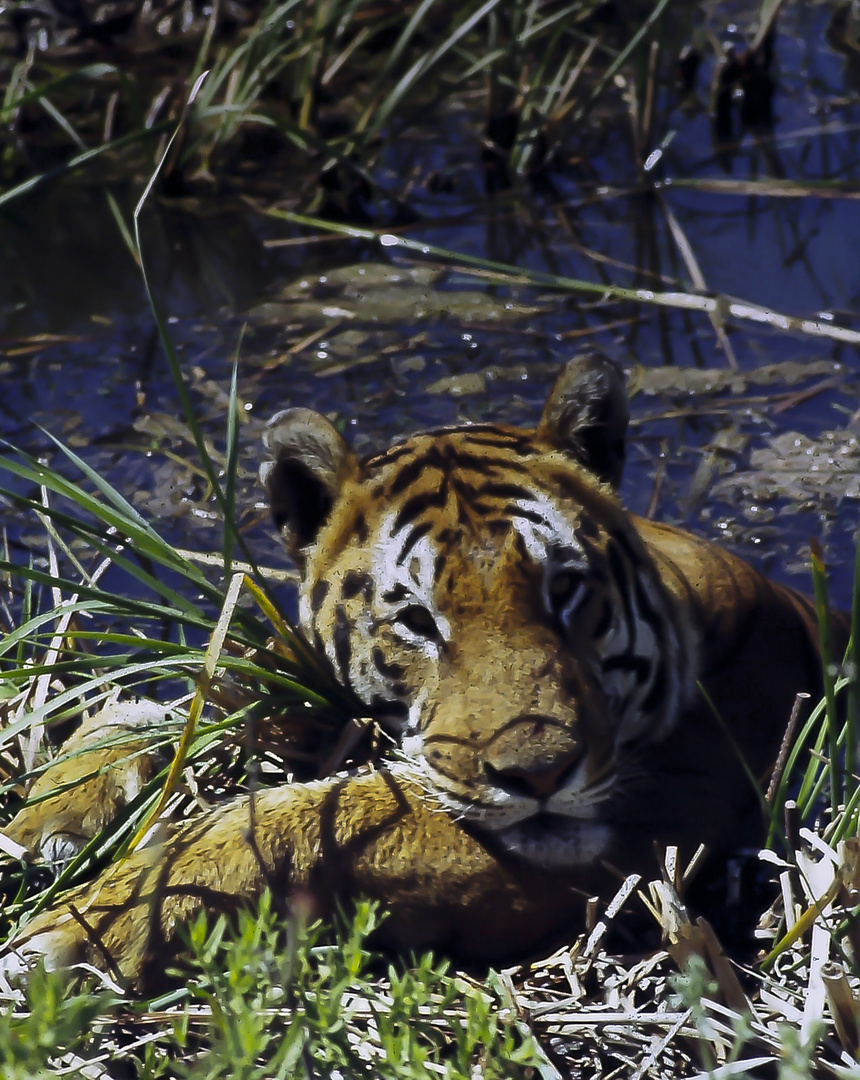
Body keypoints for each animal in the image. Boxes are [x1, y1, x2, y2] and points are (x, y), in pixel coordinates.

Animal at [0, 356, 847, 993]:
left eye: (566, 590)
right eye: (416, 619)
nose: (542, 775)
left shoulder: (653, 820)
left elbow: (322, 812)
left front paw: (88, 928)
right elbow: (190, 706)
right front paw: (52, 810)